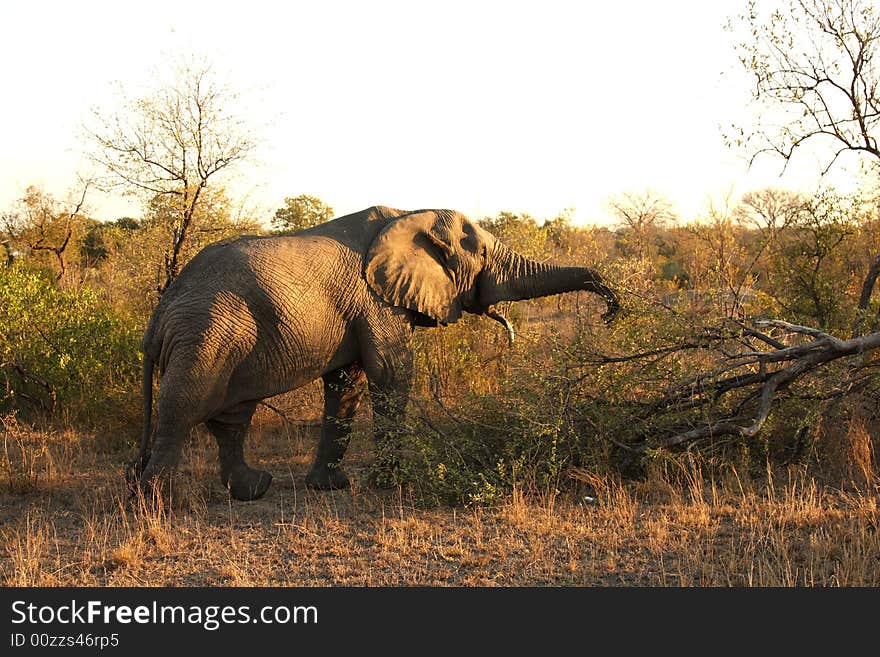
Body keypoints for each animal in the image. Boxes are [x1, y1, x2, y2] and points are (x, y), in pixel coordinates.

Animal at [131, 208, 620, 500]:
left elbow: (346, 385)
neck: (410, 213)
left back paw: (254, 488)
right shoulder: (376, 302)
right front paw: (390, 485)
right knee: (183, 407)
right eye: (481, 252)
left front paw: (329, 488)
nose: (609, 314)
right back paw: (157, 503)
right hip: (207, 335)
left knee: (232, 418)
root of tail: (158, 316)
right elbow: (391, 374)